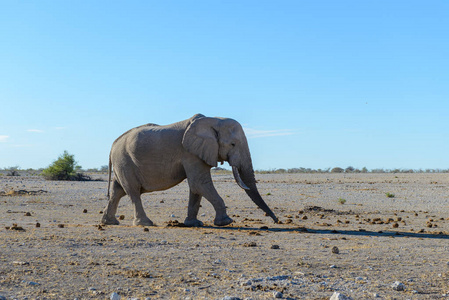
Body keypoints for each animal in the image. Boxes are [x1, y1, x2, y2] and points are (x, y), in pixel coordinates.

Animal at [100, 115, 278, 227]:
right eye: (233, 144)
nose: (277, 221)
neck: (213, 120)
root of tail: (113, 144)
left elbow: (196, 187)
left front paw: (193, 224)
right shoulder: (190, 153)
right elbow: (200, 183)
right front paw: (226, 222)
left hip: (122, 163)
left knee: (118, 191)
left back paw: (109, 222)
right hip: (124, 161)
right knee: (133, 192)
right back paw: (145, 223)